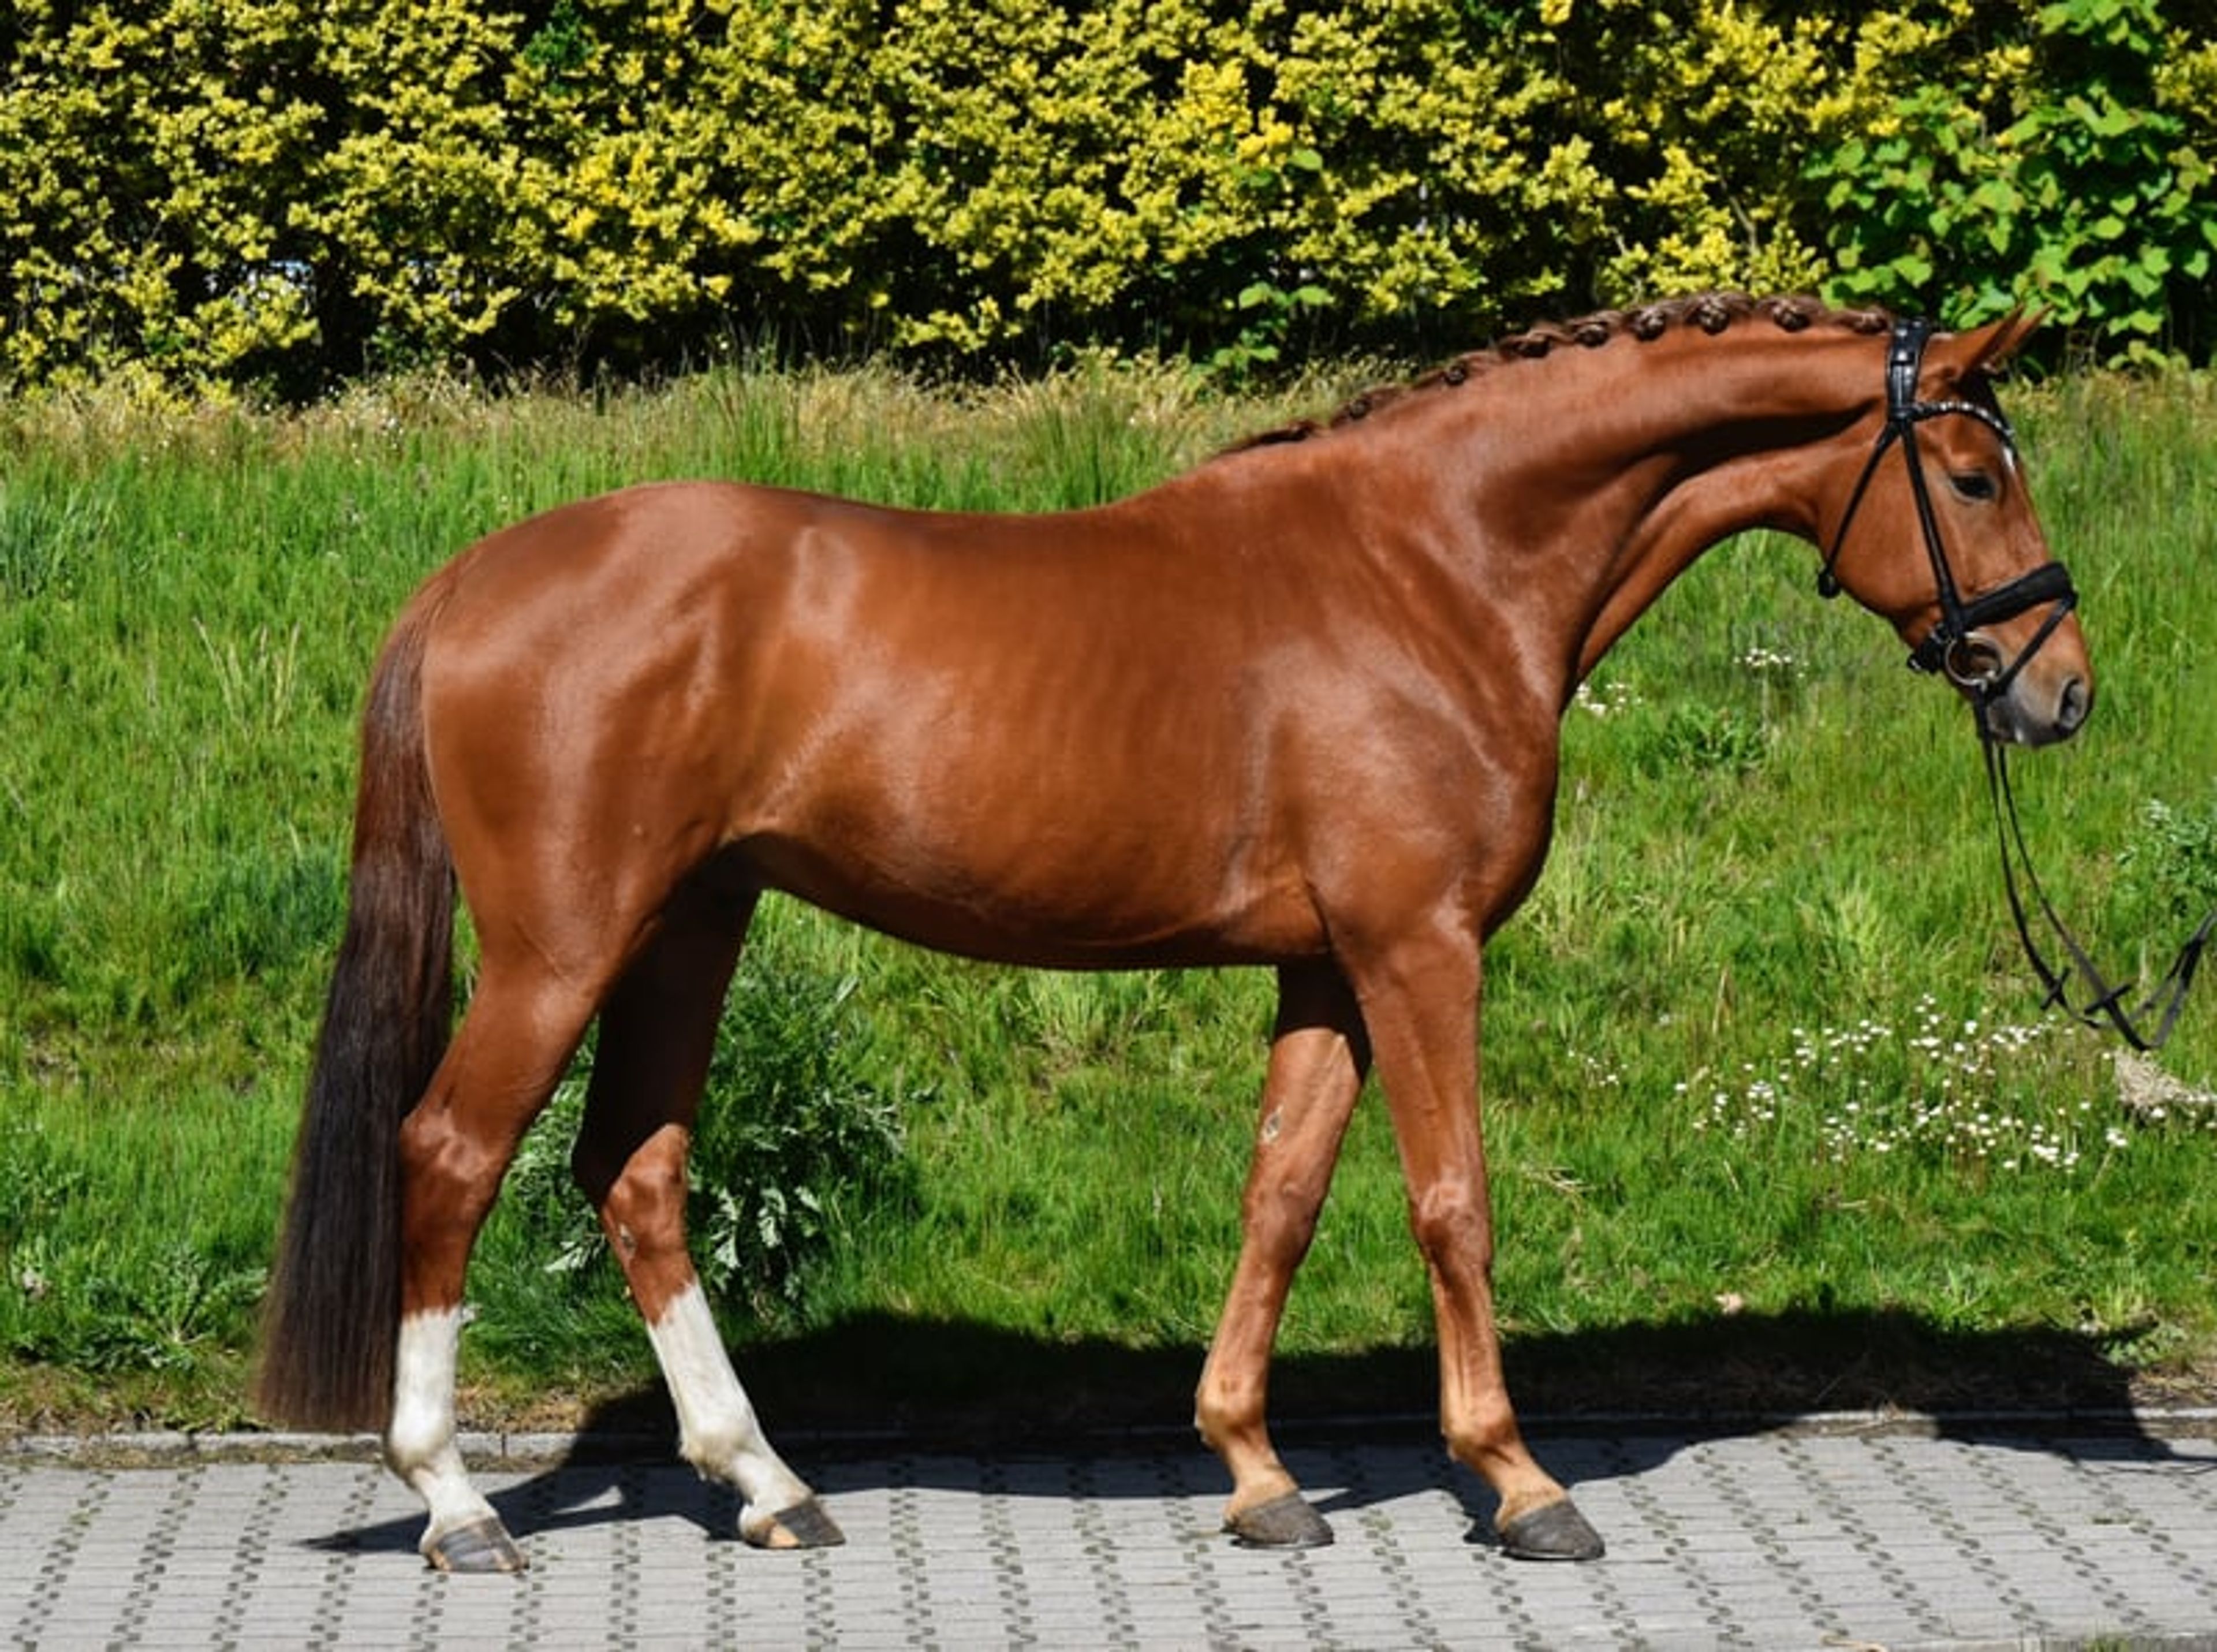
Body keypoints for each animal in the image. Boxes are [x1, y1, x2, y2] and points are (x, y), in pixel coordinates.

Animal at [257, 293, 2090, 1572]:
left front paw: (1258, 1472)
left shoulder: (1330, 966)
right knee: (451, 1152)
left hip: (692, 922)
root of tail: (473, 579)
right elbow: (1451, 1202)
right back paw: (458, 1502)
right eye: (1973, 472)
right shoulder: (1421, 949)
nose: (2059, 690)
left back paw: (767, 1482)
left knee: (632, 1166)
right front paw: (1518, 1479)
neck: (1431, 566)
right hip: (568, 942)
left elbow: (1282, 1194)